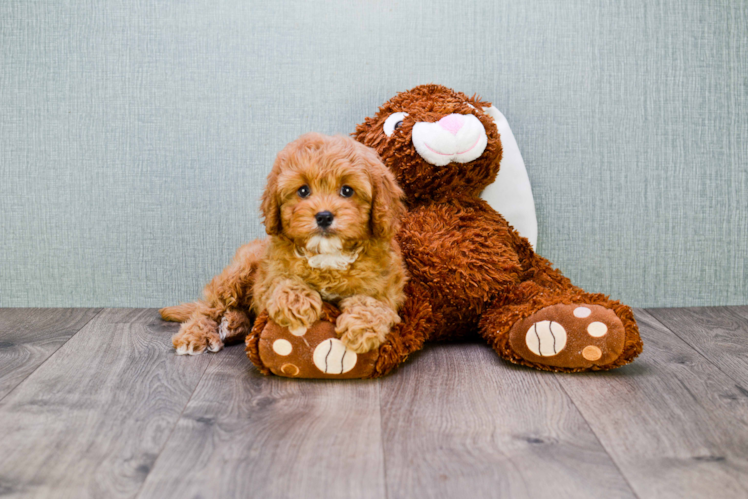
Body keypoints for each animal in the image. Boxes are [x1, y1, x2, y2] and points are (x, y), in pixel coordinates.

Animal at [164, 131, 406, 354]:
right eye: (303, 190)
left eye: (347, 190)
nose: (324, 216)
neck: (327, 255)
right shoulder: (268, 278)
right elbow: (283, 281)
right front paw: (297, 303)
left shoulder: (386, 287)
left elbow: (374, 303)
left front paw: (362, 328)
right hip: (238, 272)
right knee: (209, 307)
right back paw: (197, 334)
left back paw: (234, 325)